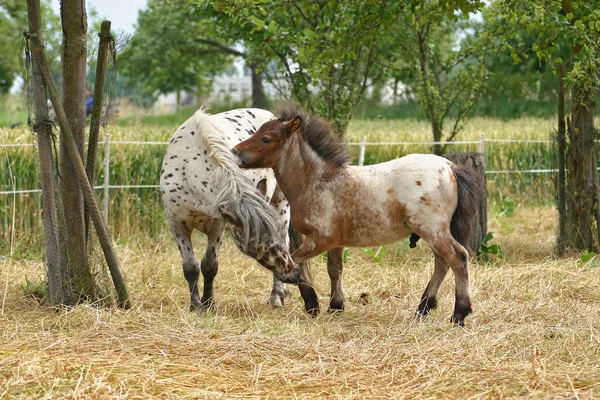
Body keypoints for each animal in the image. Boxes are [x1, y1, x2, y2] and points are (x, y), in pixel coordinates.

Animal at [159, 108, 318, 312]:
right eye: (259, 244)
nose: (294, 274)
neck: (188, 168)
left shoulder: (217, 225)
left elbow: (209, 265)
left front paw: (208, 303)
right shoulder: (177, 224)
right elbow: (190, 267)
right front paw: (195, 305)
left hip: (281, 206)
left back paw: (277, 296)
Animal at [234, 105, 482, 324]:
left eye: (266, 138)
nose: (235, 151)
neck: (316, 181)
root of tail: (451, 167)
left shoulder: (320, 239)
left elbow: (295, 263)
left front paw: (312, 303)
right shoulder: (335, 242)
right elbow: (334, 269)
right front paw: (335, 306)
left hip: (432, 230)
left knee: (458, 258)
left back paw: (459, 314)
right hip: (434, 232)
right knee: (442, 262)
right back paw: (423, 309)